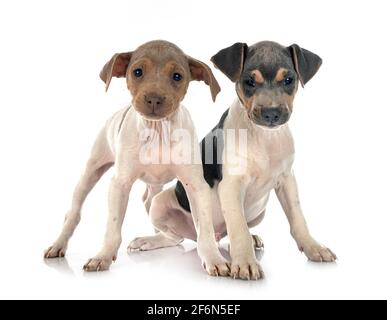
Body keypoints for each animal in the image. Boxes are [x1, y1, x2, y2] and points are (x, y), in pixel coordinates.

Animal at [44, 39, 230, 276]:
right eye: (137, 72)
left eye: (177, 76)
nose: (154, 99)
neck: (158, 131)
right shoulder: (120, 184)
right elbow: (113, 227)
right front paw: (103, 256)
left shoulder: (196, 185)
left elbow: (204, 228)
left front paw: (214, 258)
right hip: (90, 172)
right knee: (73, 212)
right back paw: (59, 244)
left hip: (154, 195)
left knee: (168, 229)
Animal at [133, 40, 336, 280]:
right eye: (249, 81)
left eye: (288, 80)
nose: (271, 114)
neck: (264, 136)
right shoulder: (231, 186)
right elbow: (239, 228)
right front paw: (246, 263)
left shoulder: (287, 180)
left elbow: (297, 218)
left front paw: (314, 247)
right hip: (161, 202)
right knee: (176, 237)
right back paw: (148, 240)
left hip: (259, 211)